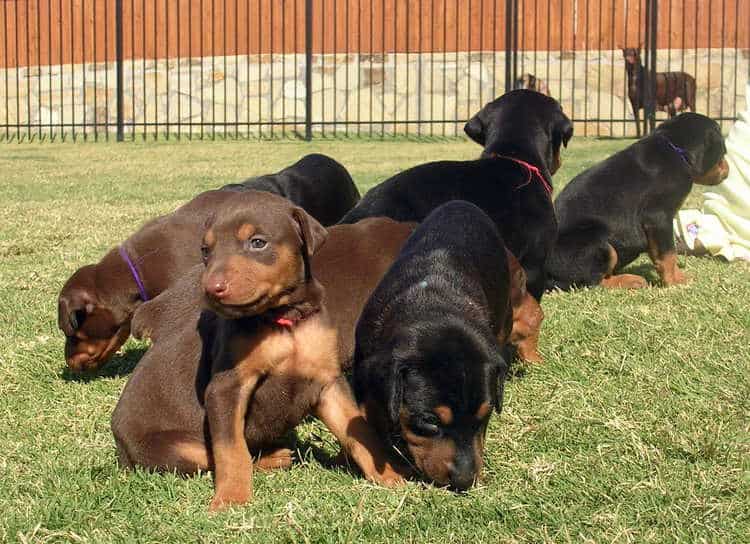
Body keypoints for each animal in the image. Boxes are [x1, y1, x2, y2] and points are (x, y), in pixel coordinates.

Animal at [548, 113, 732, 292]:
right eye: (723, 152)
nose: (728, 170)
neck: (675, 150)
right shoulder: (658, 217)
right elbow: (668, 254)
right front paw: (675, 281)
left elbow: (659, 253)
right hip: (597, 242)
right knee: (590, 281)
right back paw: (629, 281)